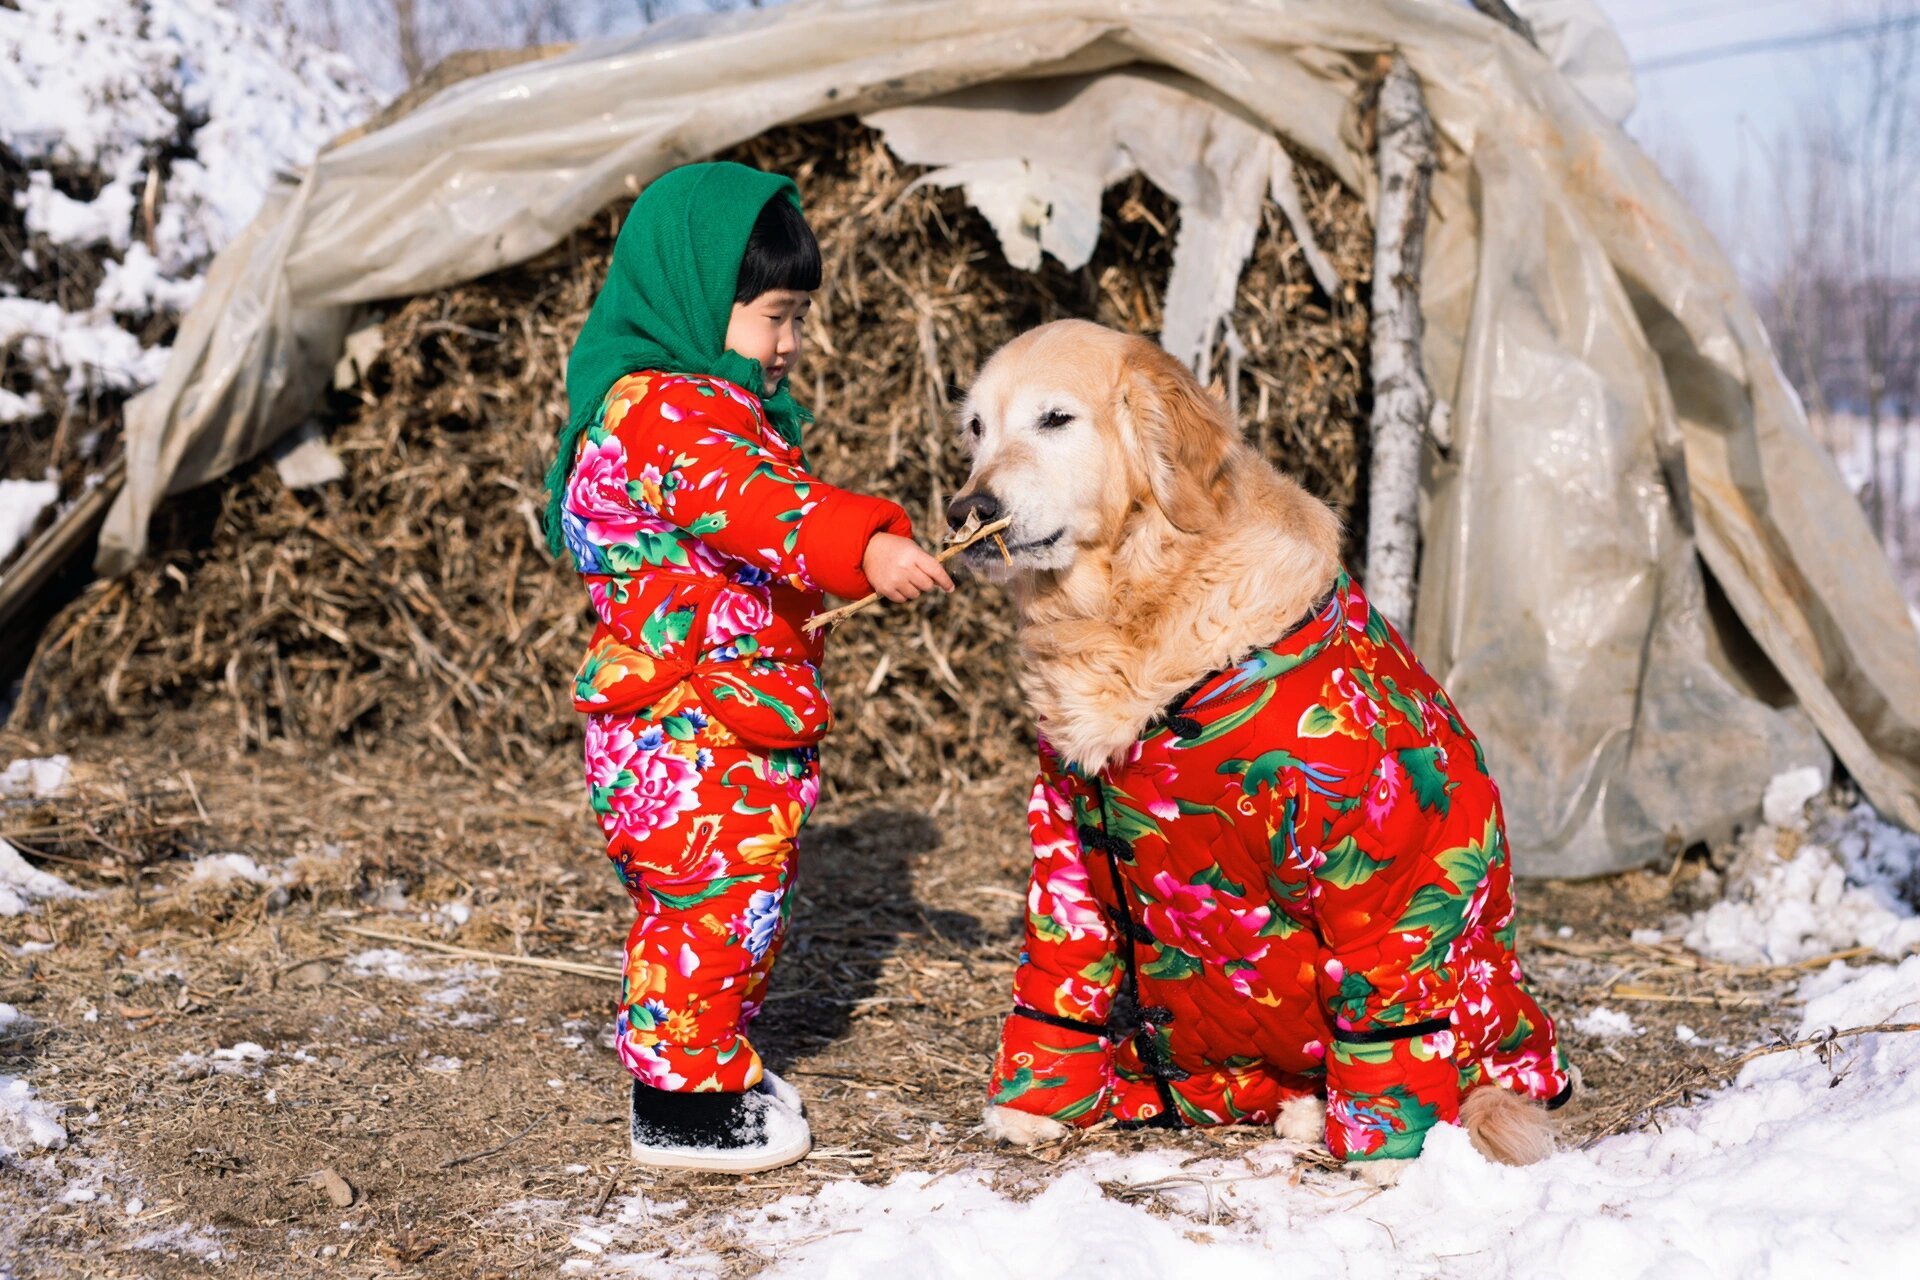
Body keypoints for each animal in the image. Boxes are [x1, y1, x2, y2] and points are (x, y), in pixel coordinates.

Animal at [952, 322, 1566, 1182]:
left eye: (1055, 419)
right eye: (976, 428)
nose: (965, 509)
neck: (1137, 601)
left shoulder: (1372, 850)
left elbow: (1386, 1000)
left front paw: (1389, 1157)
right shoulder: (1066, 836)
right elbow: (1063, 968)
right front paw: (1030, 1104)